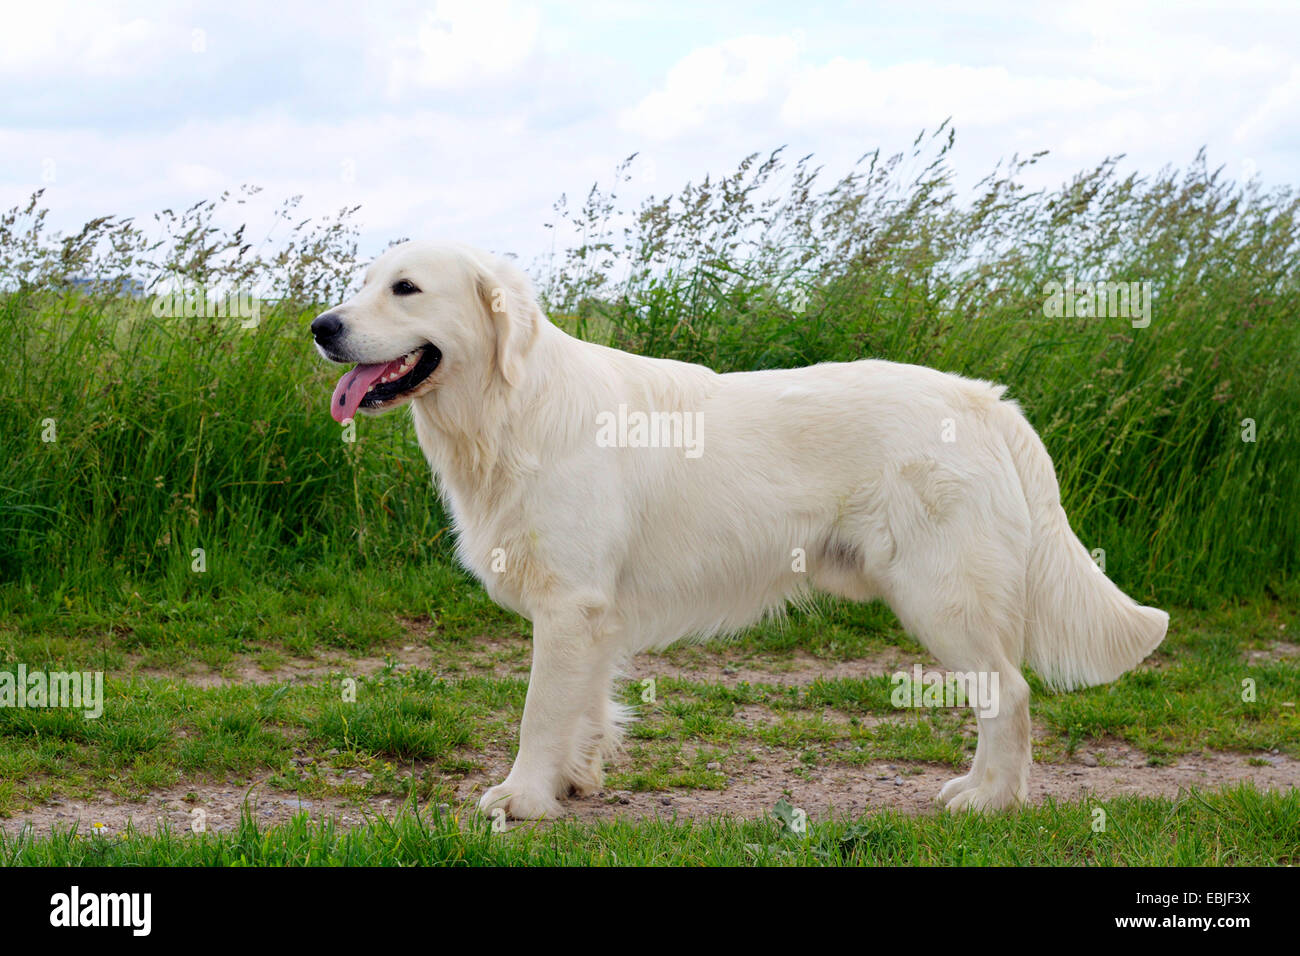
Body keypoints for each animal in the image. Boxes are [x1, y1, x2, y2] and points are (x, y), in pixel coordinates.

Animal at [312, 239, 1170, 816]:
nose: (322, 325)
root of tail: (985, 400)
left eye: (406, 288)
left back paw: (986, 798)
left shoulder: (568, 604)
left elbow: (539, 714)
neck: (508, 409)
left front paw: (521, 797)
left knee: (1010, 694)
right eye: (363, 284)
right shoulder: (594, 614)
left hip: (942, 595)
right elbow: (586, 709)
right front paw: (576, 781)